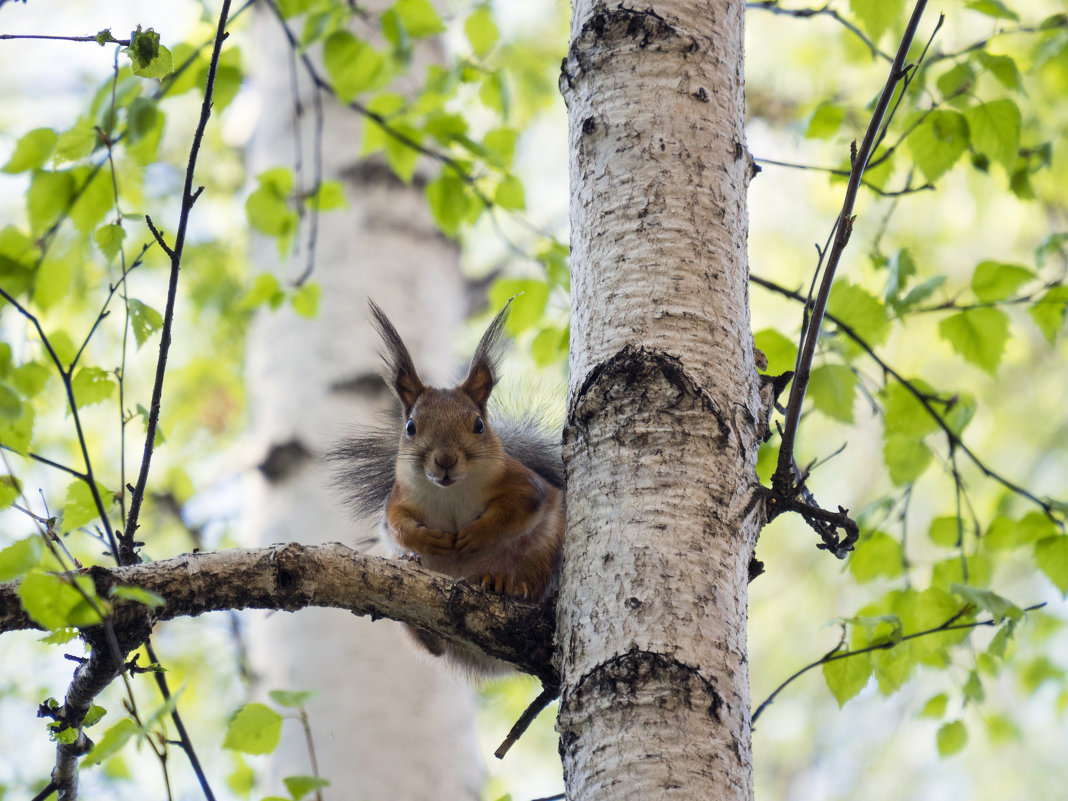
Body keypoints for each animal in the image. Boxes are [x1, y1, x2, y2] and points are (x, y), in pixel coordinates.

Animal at [333, 301, 568, 679]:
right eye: (410, 427)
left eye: (479, 425)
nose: (445, 460)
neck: (450, 492)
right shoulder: (399, 498)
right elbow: (395, 524)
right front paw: (425, 541)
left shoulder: (522, 483)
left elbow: (519, 506)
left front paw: (476, 534)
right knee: (434, 646)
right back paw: (421, 616)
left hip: (544, 550)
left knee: (531, 578)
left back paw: (507, 584)